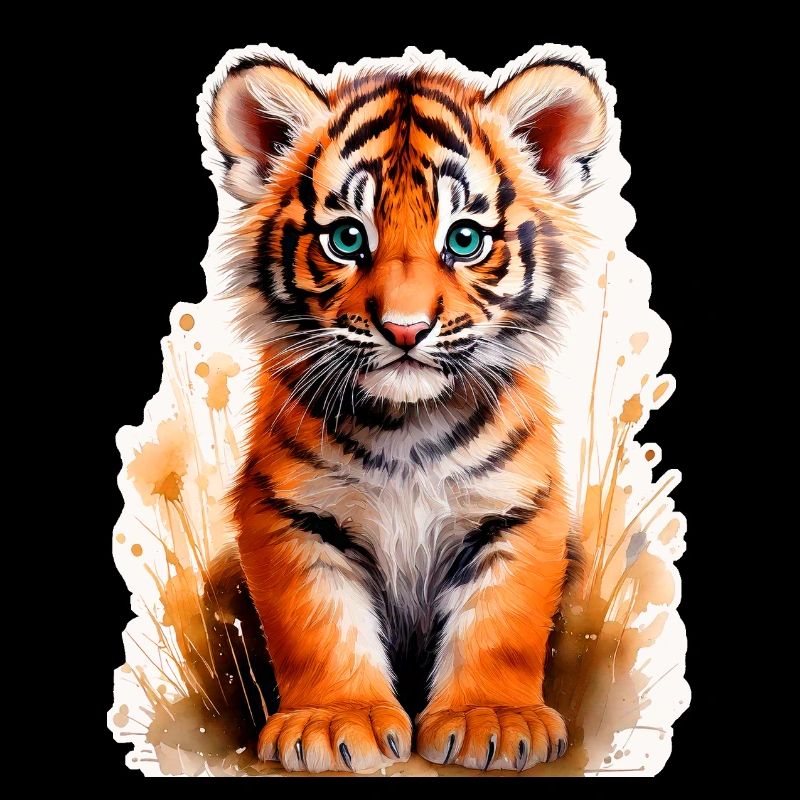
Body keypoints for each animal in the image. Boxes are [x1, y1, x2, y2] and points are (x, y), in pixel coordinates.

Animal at [205, 45, 607, 773]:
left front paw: (492, 719)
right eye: (345, 239)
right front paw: (334, 723)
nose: (404, 328)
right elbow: (318, 626)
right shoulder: (289, 513)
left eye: (466, 239)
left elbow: (502, 624)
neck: (407, 426)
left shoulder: (517, 511)